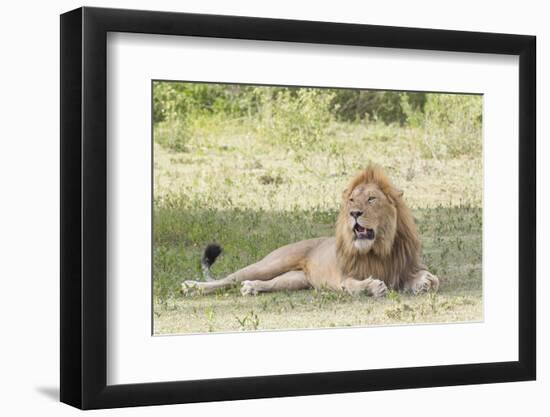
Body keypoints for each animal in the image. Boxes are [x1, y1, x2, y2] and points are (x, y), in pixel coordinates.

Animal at [183, 164, 442, 298]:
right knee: (227, 279)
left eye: (371, 199)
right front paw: (373, 286)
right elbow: (353, 285)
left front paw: (424, 282)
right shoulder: (343, 277)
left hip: (295, 280)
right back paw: (192, 286)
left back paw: (252, 287)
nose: (354, 213)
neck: (378, 249)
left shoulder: (404, 266)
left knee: (269, 283)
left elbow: (430, 278)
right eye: (351, 200)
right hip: (271, 263)